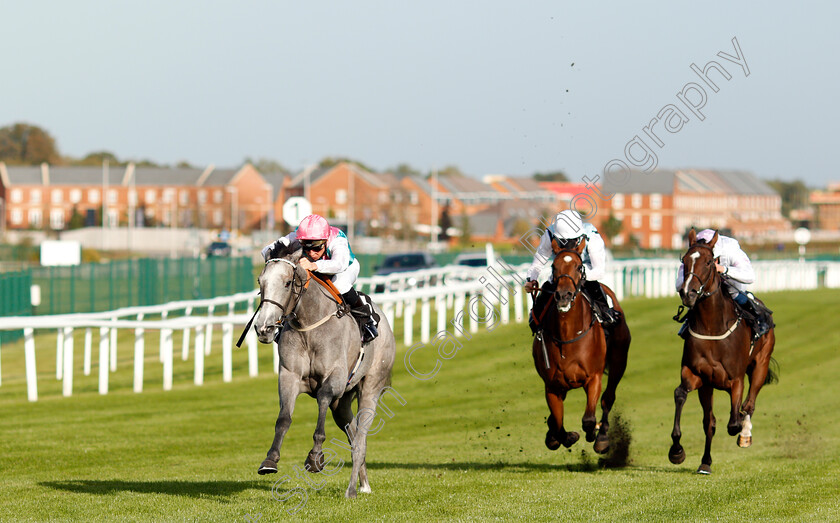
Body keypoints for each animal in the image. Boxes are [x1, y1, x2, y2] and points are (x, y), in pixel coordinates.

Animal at [253, 239, 398, 498]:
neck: (309, 324)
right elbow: (283, 418)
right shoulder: (289, 376)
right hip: (342, 405)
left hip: (371, 387)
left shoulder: (336, 378)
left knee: (360, 441)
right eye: (261, 282)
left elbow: (321, 398)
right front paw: (270, 460)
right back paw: (363, 484)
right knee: (353, 436)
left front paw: (315, 457)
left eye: (287, 282)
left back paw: (352, 490)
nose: (264, 328)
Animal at [532, 238, 632, 454]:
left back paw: (602, 436)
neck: (568, 335)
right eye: (553, 266)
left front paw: (594, 433)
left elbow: (589, 419)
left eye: (579, 267)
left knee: (608, 398)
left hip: (619, 362)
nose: (563, 295)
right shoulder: (552, 385)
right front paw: (561, 437)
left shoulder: (593, 377)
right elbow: (558, 422)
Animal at [672, 229, 776, 474]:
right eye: (684, 261)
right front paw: (678, 451)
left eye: (710, 262)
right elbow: (682, 396)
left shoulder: (735, 379)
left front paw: (740, 429)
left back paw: (745, 435)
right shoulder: (697, 376)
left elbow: (734, 420)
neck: (712, 327)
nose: (688, 293)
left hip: (760, 364)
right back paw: (705, 462)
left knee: (749, 404)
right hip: (707, 387)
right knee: (710, 421)